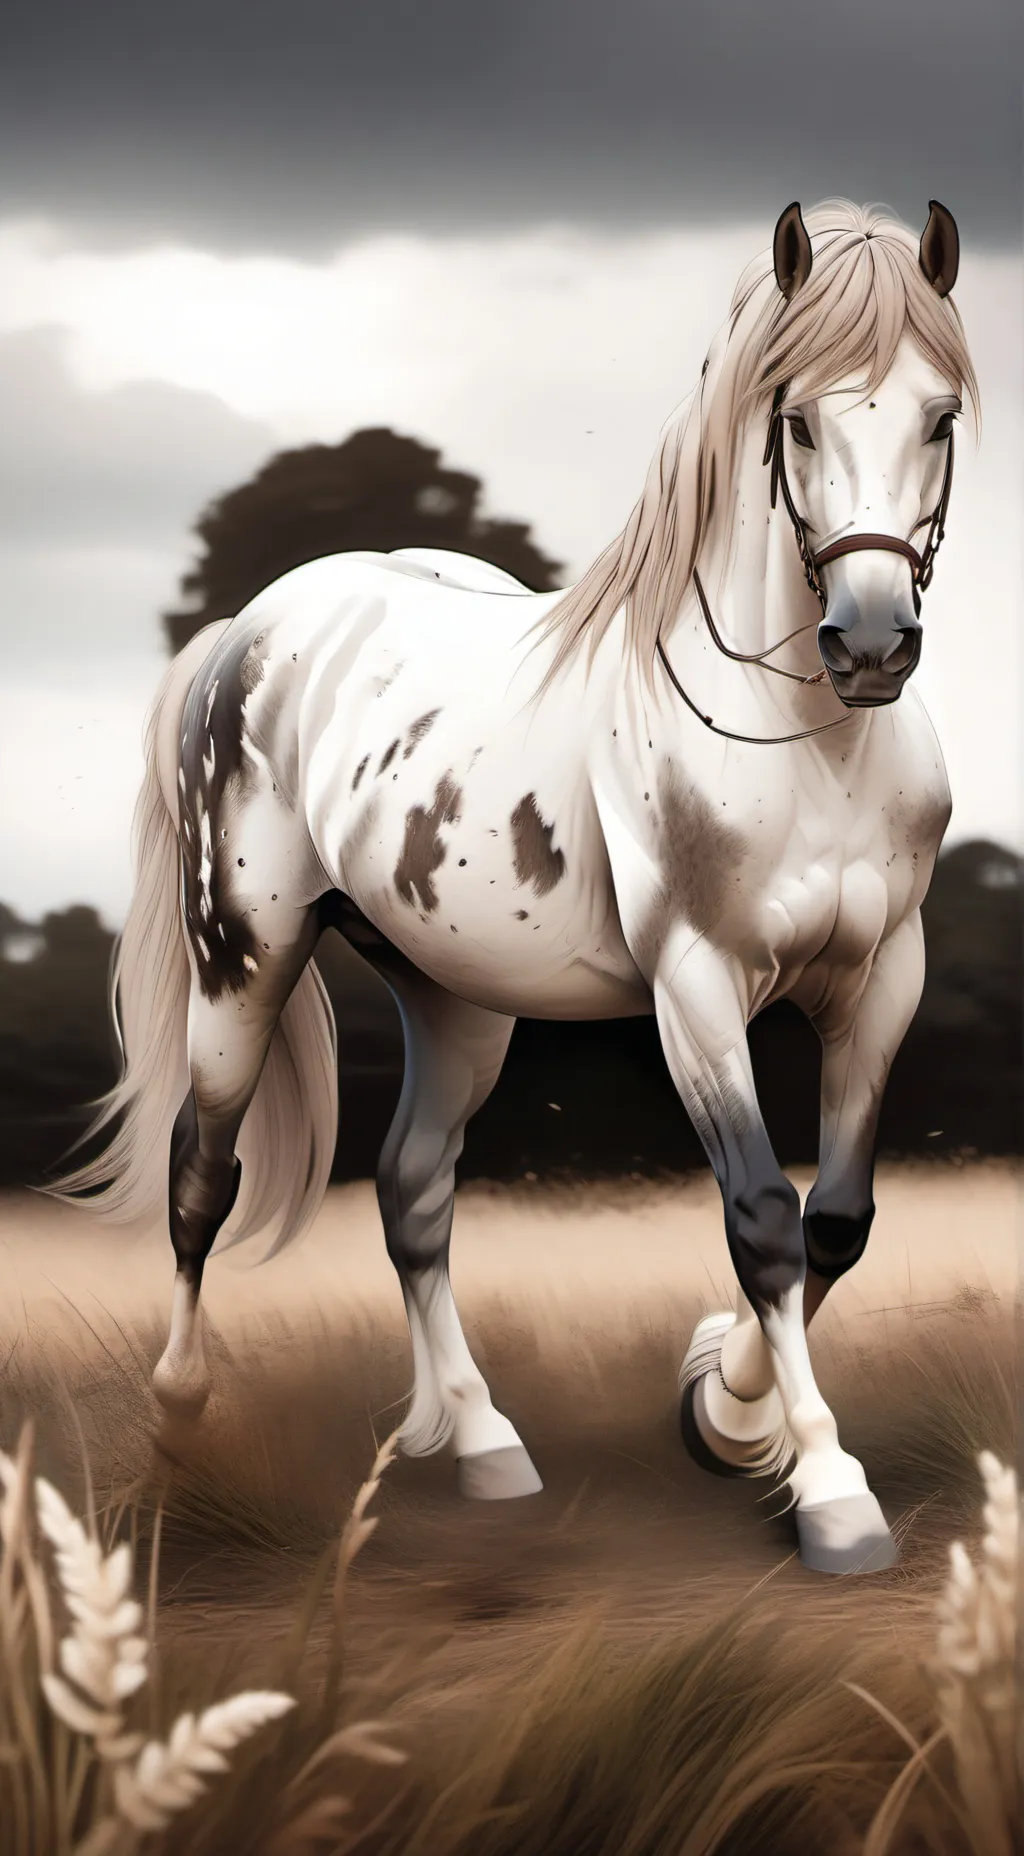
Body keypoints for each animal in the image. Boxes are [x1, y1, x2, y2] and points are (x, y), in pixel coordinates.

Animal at [55, 196, 978, 1575]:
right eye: (798, 418)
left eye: (940, 415)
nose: (869, 643)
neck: (806, 742)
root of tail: (245, 631)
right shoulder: (696, 989)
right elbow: (762, 1214)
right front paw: (823, 1488)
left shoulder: (880, 981)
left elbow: (838, 1220)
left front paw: (724, 1414)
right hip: (242, 962)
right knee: (198, 1174)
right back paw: (177, 1423)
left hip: (457, 999)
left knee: (411, 1188)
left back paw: (481, 1439)